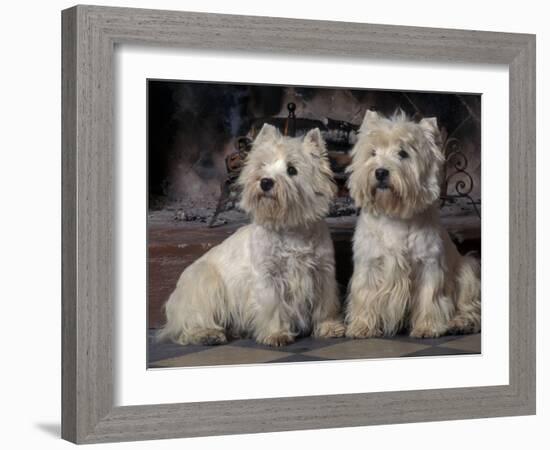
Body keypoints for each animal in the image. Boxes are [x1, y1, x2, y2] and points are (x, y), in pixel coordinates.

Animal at [157, 125, 344, 346]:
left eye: (292, 170)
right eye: (263, 165)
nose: (265, 182)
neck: (289, 227)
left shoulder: (322, 272)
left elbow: (326, 304)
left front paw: (329, 327)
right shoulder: (268, 277)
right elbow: (272, 306)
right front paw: (276, 334)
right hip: (204, 285)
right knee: (189, 324)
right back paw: (208, 334)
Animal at [348, 110, 480, 338]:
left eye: (403, 153)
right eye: (372, 152)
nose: (380, 172)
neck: (394, 214)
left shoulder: (428, 264)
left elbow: (429, 296)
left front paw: (427, 327)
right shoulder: (370, 263)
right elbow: (365, 294)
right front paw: (362, 326)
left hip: (467, 271)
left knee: (469, 306)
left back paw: (461, 323)